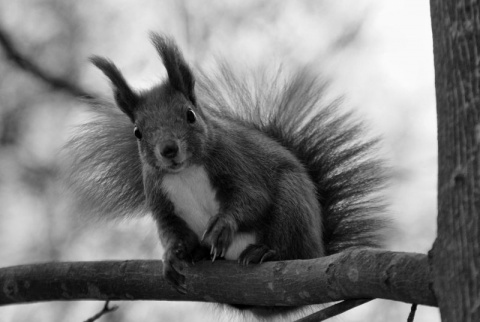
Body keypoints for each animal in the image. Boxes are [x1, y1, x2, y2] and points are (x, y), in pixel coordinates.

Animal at [65, 34, 388, 316]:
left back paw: (266, 253)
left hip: (293, 203)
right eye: (137, 132)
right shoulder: (159, 198)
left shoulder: (237, 162)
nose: (168, 149)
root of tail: (320, 248)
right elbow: (170, 228)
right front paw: (173, 255)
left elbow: (252, 198)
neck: (186, 172)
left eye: (190, 115)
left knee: (294, 247)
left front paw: (222, 227)